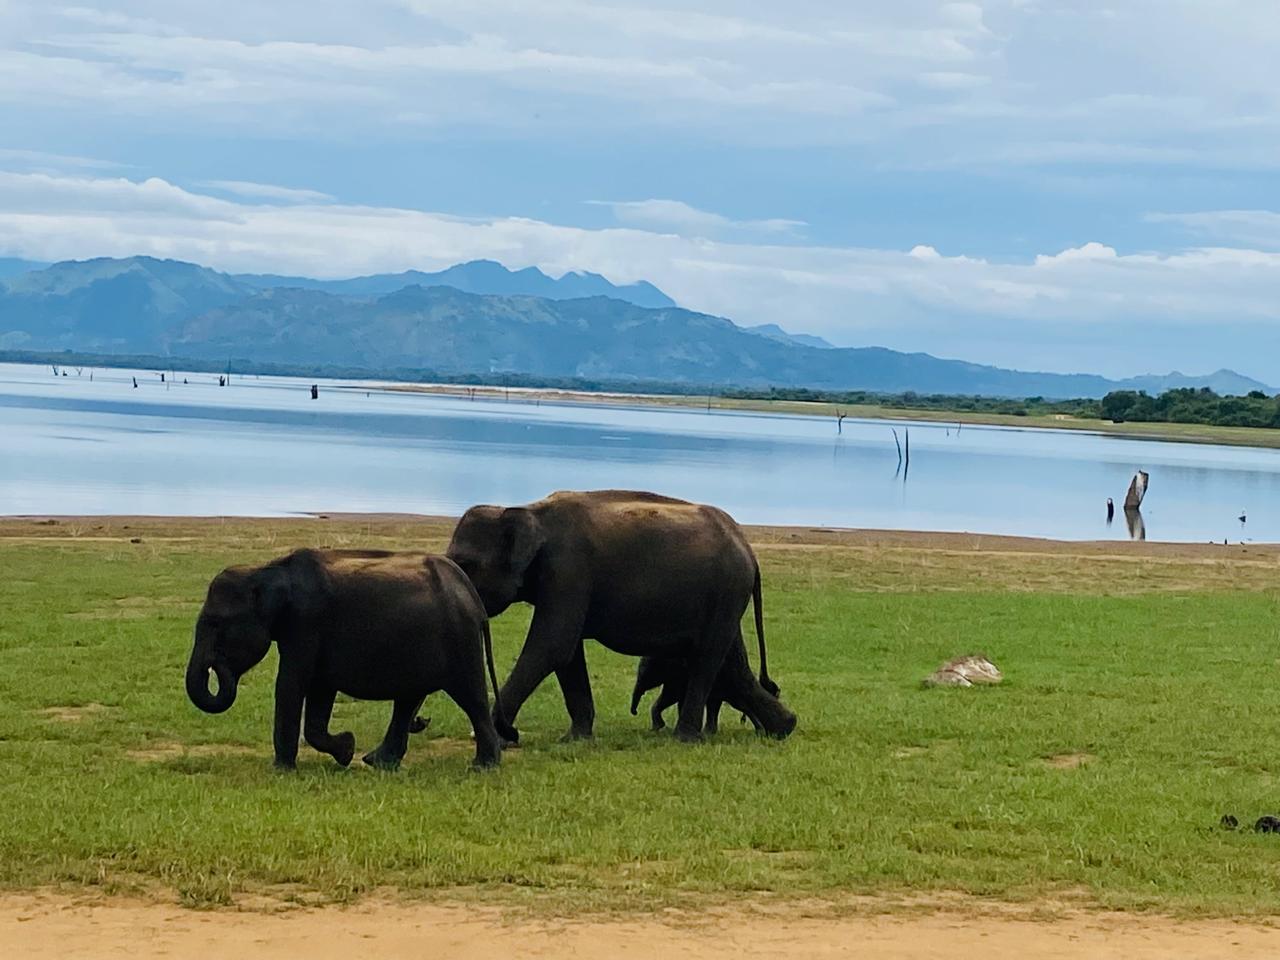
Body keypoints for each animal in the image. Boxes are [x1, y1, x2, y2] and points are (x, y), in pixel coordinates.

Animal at [185, 548, 514, 770]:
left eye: (216, 623)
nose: (218, 667)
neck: (266, 570)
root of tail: (470, 593)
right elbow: (319, 690)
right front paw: (346, 750)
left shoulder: (305, 623)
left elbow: (291, 684)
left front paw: (282, 770)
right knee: (409, 700)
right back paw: (377, 762)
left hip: (459, 639)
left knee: (470, 696)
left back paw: (483, 766)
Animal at [446, 489, 795, 743]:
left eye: (466, 564)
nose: (512, 732)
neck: (526, 511)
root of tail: (748, 548)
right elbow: (568, 655)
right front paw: (575, 739)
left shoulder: (568, 571)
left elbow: (552, 647)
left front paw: (496, 734)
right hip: (725, 598)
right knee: (732, 664)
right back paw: (783, 728)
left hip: (726, 589)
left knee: (708, 658)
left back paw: (685, 738)